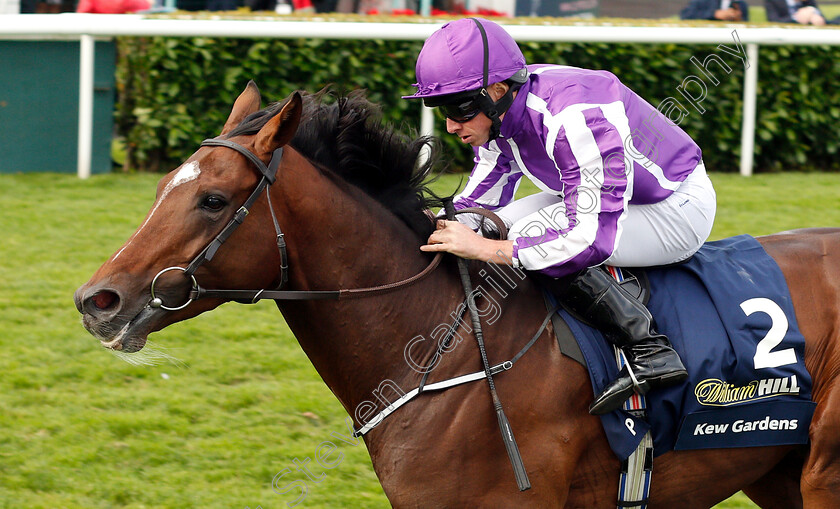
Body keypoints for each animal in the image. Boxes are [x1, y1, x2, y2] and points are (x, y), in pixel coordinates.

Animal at [74, 81, 840, 506]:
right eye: (160, 187)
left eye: (211, 199)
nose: (97, 300)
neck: (443, 348)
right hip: (774, 468)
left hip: (821, 472)